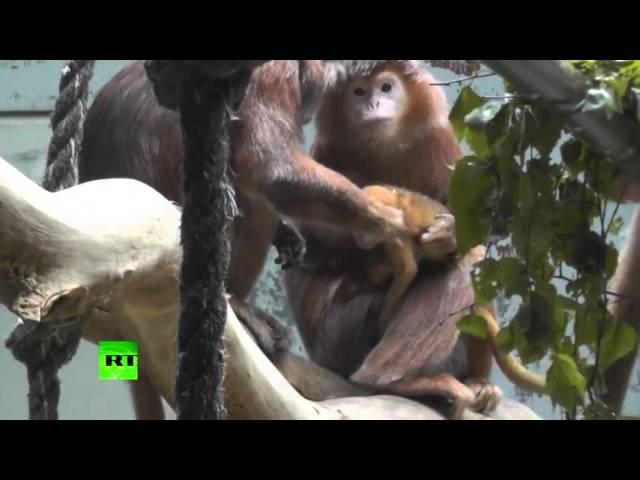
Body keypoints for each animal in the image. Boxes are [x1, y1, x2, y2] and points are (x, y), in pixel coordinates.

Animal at [79, 61, 410, 420]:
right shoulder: (273, 77)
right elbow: (274, 173)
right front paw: (385, 220)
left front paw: (287, 233)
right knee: (253, 201)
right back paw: (237, 302)